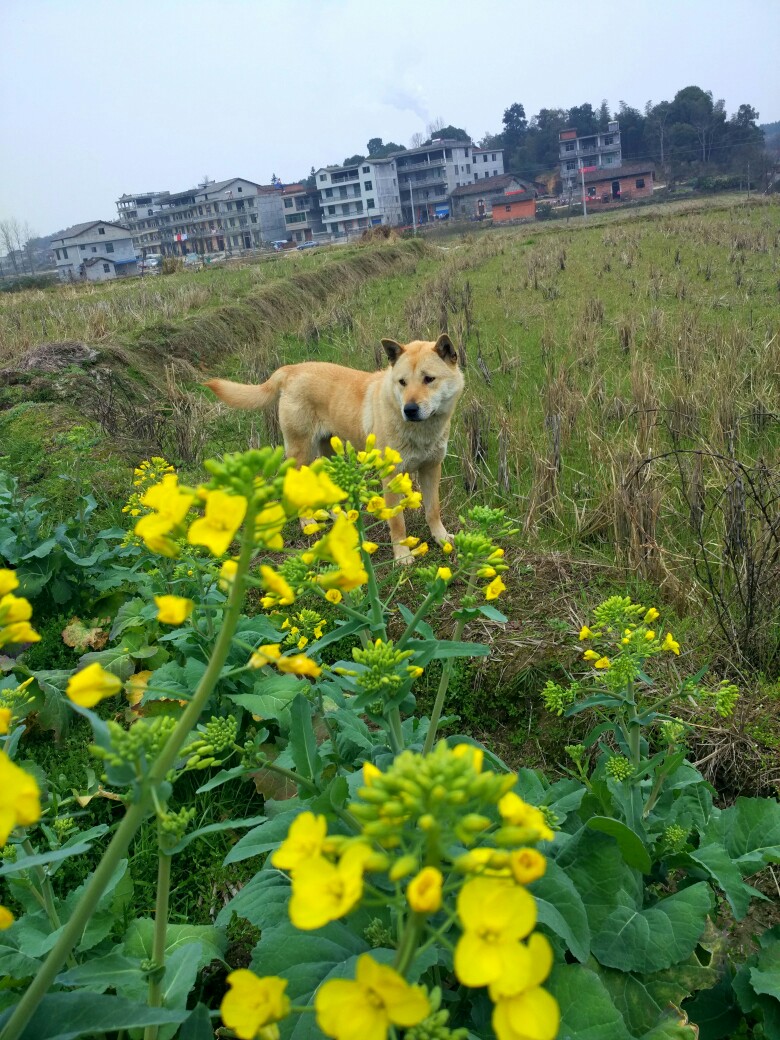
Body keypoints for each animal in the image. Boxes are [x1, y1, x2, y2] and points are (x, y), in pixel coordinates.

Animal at [204, 332, 467, 561]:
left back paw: (336, 514)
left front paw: (442, 538)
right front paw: (402, 555)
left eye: (429, 379)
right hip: (302, 452)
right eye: (402, 382)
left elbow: (433, 510)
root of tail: (291, 370)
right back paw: (308, 522)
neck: (421, 431)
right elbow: (397, 521)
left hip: (329, 452)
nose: (409, 409)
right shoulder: (390, 476)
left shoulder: (431, 468)